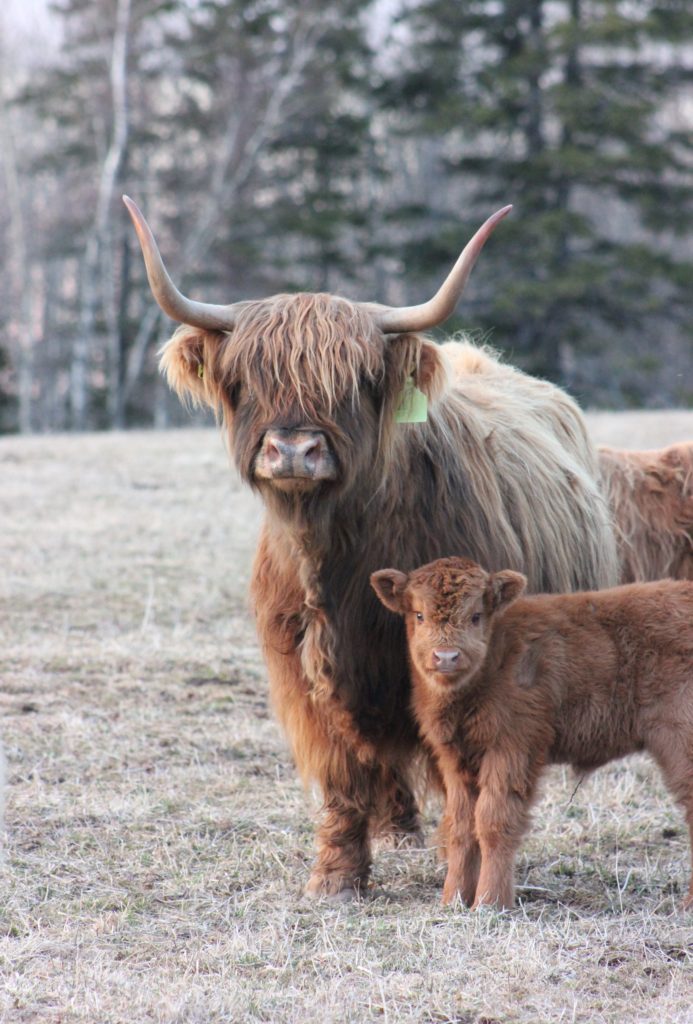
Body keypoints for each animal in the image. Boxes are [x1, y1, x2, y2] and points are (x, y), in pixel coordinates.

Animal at [124, 195, 622, 901]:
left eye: (356, 381)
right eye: (247, 378)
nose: (295, 450)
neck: (335, 562)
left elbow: (465, 781)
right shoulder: (305, 674)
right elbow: (342, 776)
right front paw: (335, 877)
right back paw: (395, 828)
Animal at [372, 557, 693, 909]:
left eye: (476, 615)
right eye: (419, 614)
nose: (446, 656)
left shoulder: (512, 748)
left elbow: (494, 822)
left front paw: (490, 902)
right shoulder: (456, 760)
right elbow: (461, 827)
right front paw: (453, 899)